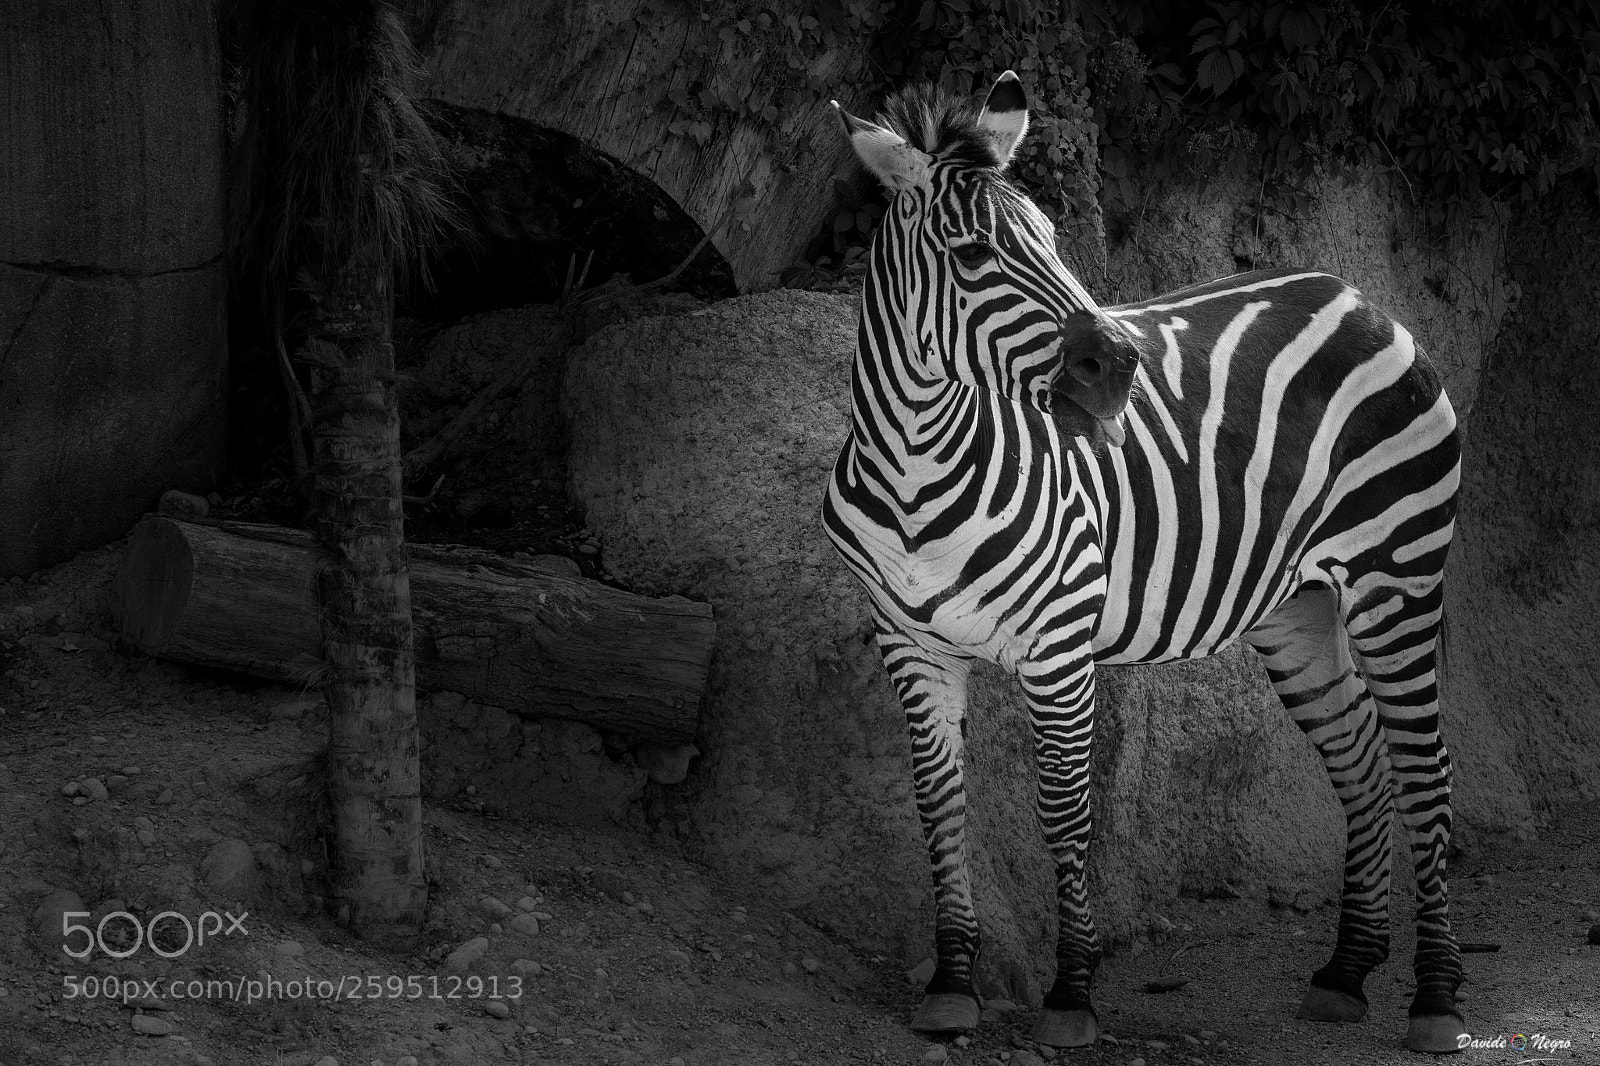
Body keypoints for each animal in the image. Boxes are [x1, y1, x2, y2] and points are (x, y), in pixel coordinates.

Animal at [821, 72, 1466, 1055]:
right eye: (972, 254)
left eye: (1054, 241)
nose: (1119, 363)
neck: (914, 468)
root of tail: (1355, 296)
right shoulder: (911, 648)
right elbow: (940, 807)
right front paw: (952, 983)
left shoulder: (1058, 651)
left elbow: (1065, 815)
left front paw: (1072, 996)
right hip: (1297, 608)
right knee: (1360, 755)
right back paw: (1347, 972)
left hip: (1398, 575)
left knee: (1424, 767)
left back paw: (1434, 1000)